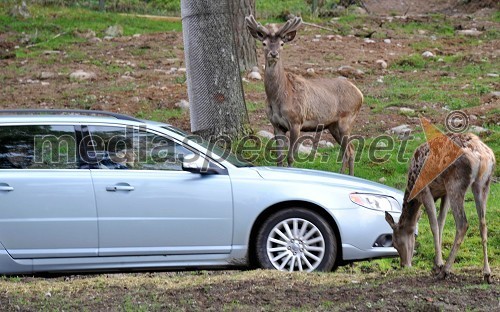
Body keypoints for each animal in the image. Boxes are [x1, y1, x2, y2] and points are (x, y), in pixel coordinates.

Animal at [246, 15, 364, 176]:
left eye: (282, 43)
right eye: (264, 43)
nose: (274, 54)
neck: (278, 99)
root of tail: (360, 93)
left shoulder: (297, 121)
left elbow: (290, 157)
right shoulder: (276, 124)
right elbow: (279, 158)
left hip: (347, 119)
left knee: (350, 150)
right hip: (332, 125)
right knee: (347, 150)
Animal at [384, 132, 494, 282]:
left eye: (394, 243)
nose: (403, 265)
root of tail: (482, 156)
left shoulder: (425, 190)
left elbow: (434, 225)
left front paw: (438, 265)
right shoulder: (444, 193)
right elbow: (441, 222)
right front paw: (437, 263)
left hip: (455, 183)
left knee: (463, 224)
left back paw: (446, 270)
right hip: (483, 184)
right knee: (483, 223)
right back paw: (487, 273)